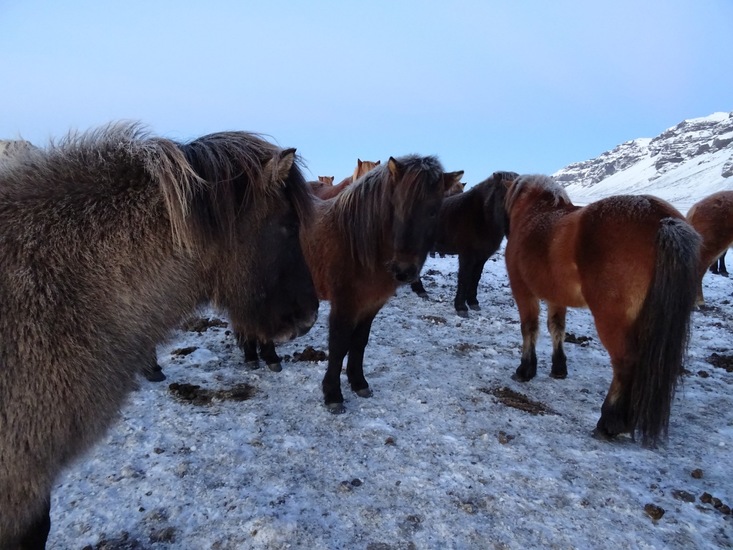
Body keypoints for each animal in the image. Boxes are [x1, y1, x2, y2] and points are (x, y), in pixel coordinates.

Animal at [410, 171, 518, 315]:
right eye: (504, 197)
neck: (481, 218)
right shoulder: (467, 256)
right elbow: (464, 278)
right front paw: (461, 307)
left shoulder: (481, 257)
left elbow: (475, 278)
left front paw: (473, 302)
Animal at [504, 175, 700, 447]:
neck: (534, 214)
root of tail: (662, 220)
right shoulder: (556, 297)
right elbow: (557, 329)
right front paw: (558, 369)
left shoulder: (523, 290)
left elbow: (529, 328)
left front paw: (525, 370)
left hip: (611, 320)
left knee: (625, 363)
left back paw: (609, 423)